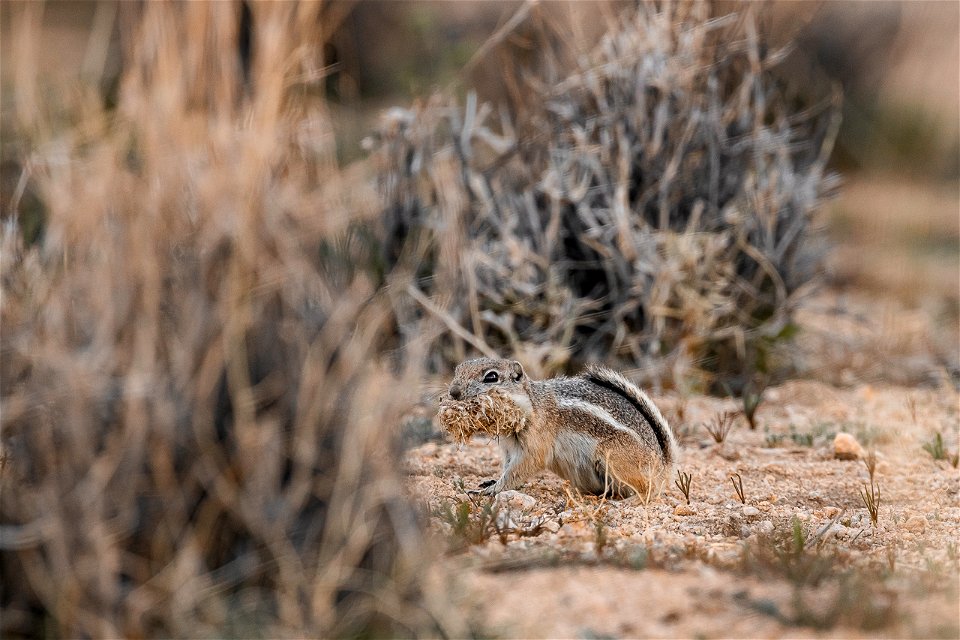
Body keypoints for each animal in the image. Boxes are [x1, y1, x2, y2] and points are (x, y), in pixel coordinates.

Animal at [438, 358, 680, 498]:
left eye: (491, 377)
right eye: (458, 369)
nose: (453, 392)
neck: (532, 405)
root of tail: (663, 466)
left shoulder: (535, 445)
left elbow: (520, 469)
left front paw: (492, 490)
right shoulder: (508, 448)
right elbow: (507, 467)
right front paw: (491, 481)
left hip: (612, 457)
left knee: (647, 491)